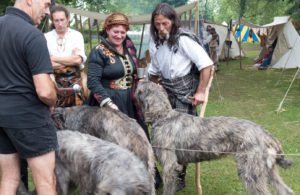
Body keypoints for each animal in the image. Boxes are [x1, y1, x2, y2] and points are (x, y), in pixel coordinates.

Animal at [135, 80, 292, 195]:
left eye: (140, 90)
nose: (141, 78)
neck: (164, 116)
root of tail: (266, 134)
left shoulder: (169, 166)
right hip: (267, 170)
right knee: (286, 191)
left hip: (250, 172)